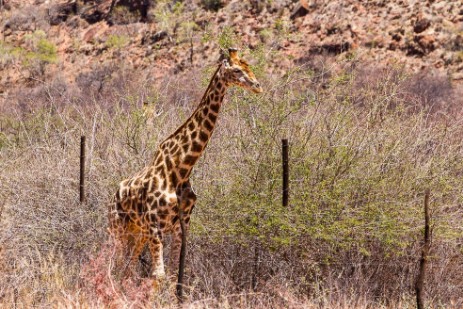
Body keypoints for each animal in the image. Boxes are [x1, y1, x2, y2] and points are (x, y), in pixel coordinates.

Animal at [106, 48, 262, 280]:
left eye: (248, 66)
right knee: (113, 266)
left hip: (137, 232)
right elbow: (159, 275)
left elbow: (174, 274)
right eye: (236, 70)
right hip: (117, 228)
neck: (180, 170)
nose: (258, 85)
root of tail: (113, 195)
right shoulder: (155, 225)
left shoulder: (182, 224)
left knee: (127, 268)